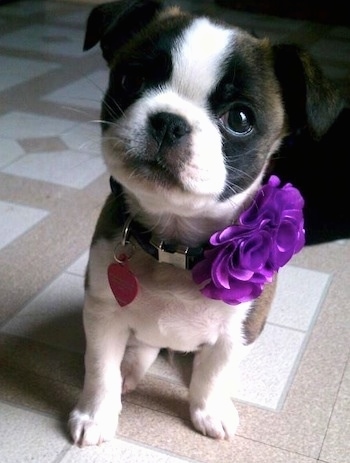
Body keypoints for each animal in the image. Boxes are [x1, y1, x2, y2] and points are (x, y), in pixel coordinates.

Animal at [68, 0, 342, 450]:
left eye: (240, 118)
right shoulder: (104, 313)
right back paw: (132, 368)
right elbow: (100, 370)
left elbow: (213, 375)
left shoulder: (238, 331)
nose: (168, 120)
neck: (173, 245)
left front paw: (209, 411)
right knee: (142, 346)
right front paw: (96, 415)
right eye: (131, 80)